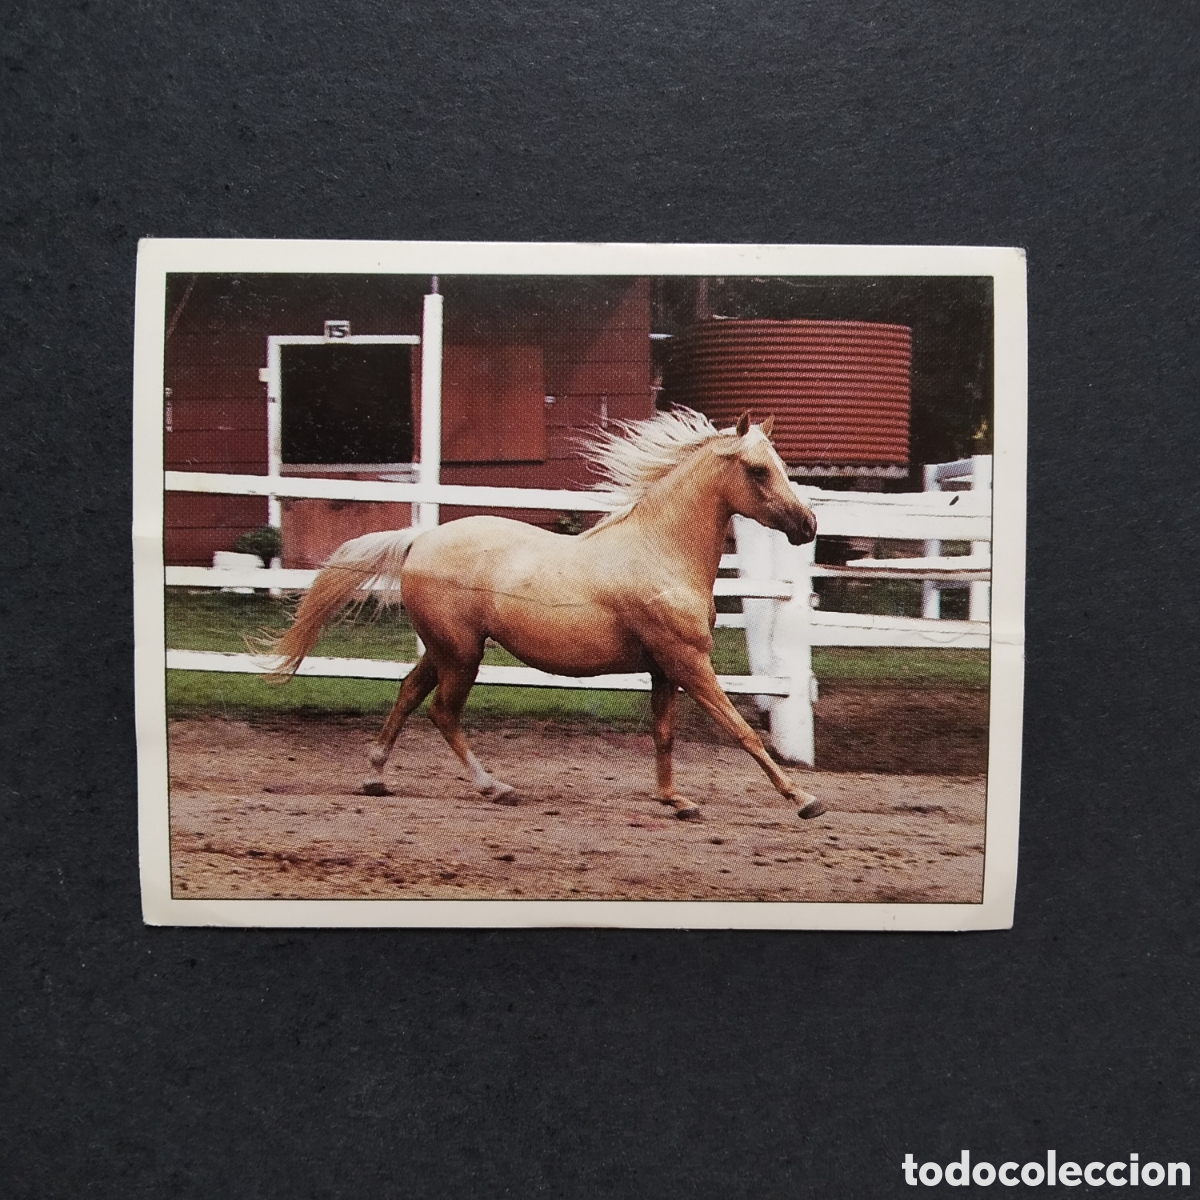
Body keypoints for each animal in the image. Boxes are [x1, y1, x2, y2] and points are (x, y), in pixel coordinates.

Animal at [260, 407, 825, 821]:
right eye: (759, 470)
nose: (808, 526)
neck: (660, 552)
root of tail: (420, 540)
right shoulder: (688, 661)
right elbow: (741, 730)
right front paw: (804, 800)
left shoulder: (664, 667)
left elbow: (664, 734)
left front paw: (675, 801)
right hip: (461, 655)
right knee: (443, 712)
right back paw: (495, 787)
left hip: (445, 650)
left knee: (407, 693)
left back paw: (376, 776)